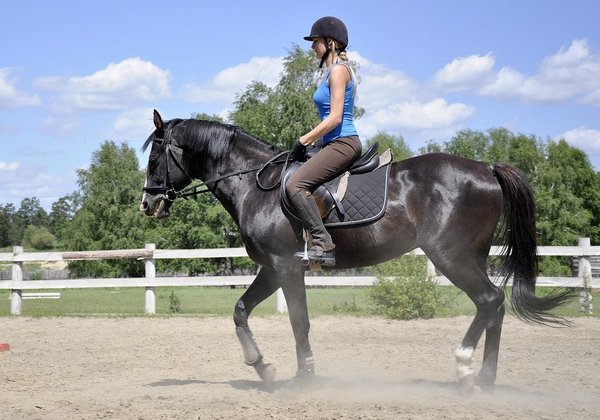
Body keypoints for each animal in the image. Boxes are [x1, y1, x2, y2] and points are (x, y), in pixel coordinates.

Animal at [139, 110, 572, 392]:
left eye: (155, 156)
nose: (147, 204)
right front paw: (262, 368)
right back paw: (484, 378)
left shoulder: (286, 267)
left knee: (490, 299)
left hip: (451, 257)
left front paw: (305, 377)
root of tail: (486, 168)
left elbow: (299, 322)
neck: (254, 184)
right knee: (494, 306)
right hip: (470, 257)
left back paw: (466, 369)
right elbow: (240, 311)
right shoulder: (272, 269)